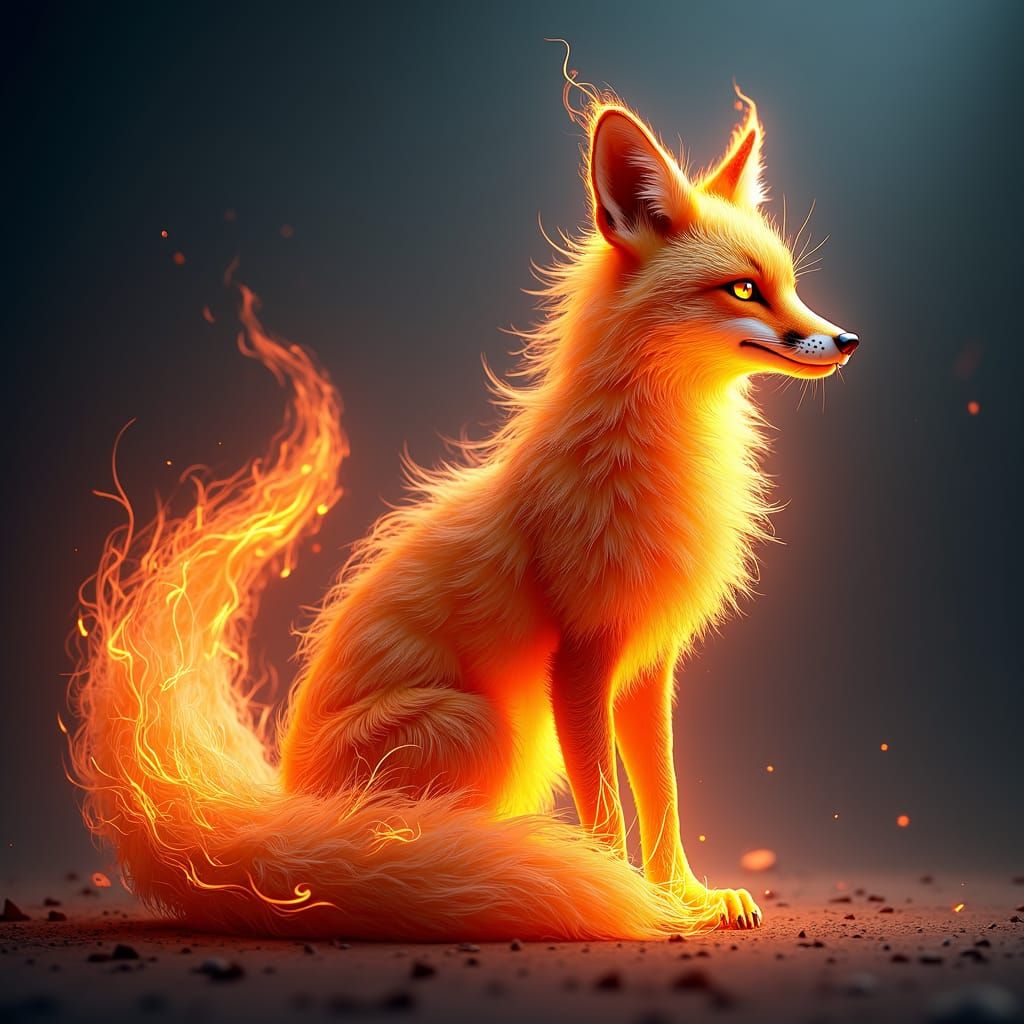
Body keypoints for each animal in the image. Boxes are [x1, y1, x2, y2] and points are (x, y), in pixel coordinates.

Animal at [69, 83, 858, 942]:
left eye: (790, 284)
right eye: (744, 289)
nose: (846, 339)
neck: (663, 457)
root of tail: (283, 813)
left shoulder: (648, 664)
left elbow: (666, 799)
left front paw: (686, 896)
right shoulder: (579, 659)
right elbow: (607, 808)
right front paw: (625, 895)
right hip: (488, 728)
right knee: (403, 842)